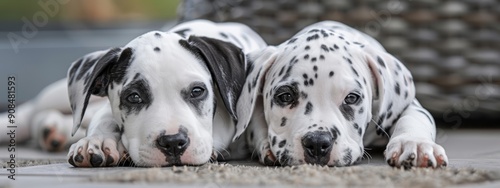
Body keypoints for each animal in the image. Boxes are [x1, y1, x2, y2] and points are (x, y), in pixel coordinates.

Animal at [235, 20, 450, 169]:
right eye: (286, 96)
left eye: (352, 97)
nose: (317, 143)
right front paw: (266, 145)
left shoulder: (408, 106)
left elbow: (414, 117)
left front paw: (415, 144)